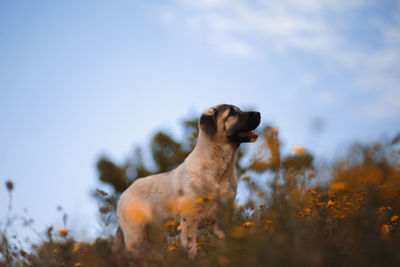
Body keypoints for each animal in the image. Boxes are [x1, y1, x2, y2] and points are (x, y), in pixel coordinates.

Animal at [114, 104, 260, 258]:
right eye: (231, 113)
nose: (258, 114)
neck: (220, 170)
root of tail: (124, 194)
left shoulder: (222, 216)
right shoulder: (190, 218)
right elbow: (190, 246)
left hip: (156, 238)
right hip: (135, 235)